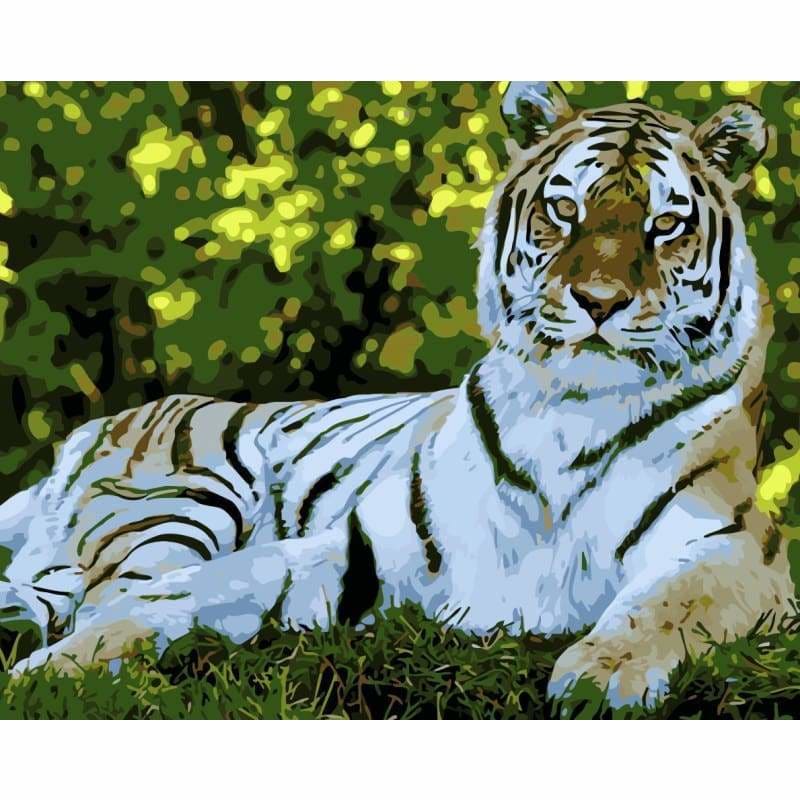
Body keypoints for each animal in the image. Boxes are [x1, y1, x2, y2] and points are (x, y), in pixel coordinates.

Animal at [0, 82, 794, 709]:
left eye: (665, 225)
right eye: (565, 210)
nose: (599, 302)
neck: (570, 415)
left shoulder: (734, 548)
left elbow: (669, 608)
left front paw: (603, 677)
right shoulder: (363, 546)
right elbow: (199, 589)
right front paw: (58, 672)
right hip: (182, 499)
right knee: (97, 589)